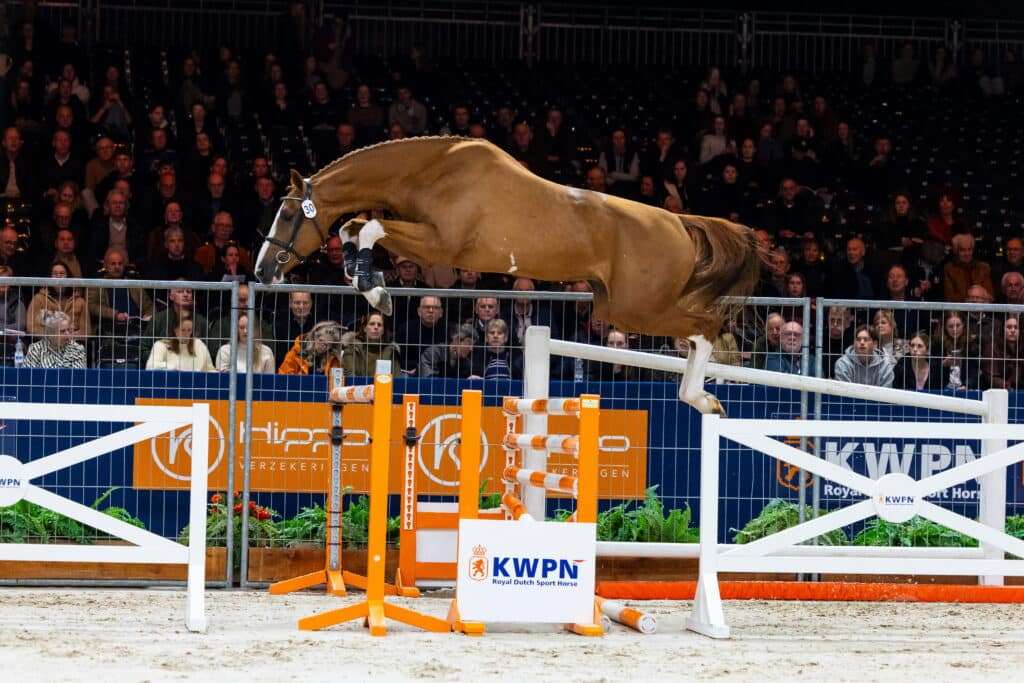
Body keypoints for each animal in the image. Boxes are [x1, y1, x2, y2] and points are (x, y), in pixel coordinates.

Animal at [255, 136, 763, 414]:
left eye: (287, 214)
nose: (262, 270)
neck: (431, 170)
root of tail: (678, 222)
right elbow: (353, 227)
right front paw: (369, 283)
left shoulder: (441, 243)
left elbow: (367, 226)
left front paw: (373, 287)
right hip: (622, 305)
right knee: (700, 327)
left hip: (639, 306)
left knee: (705, 326)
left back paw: (700, 397)